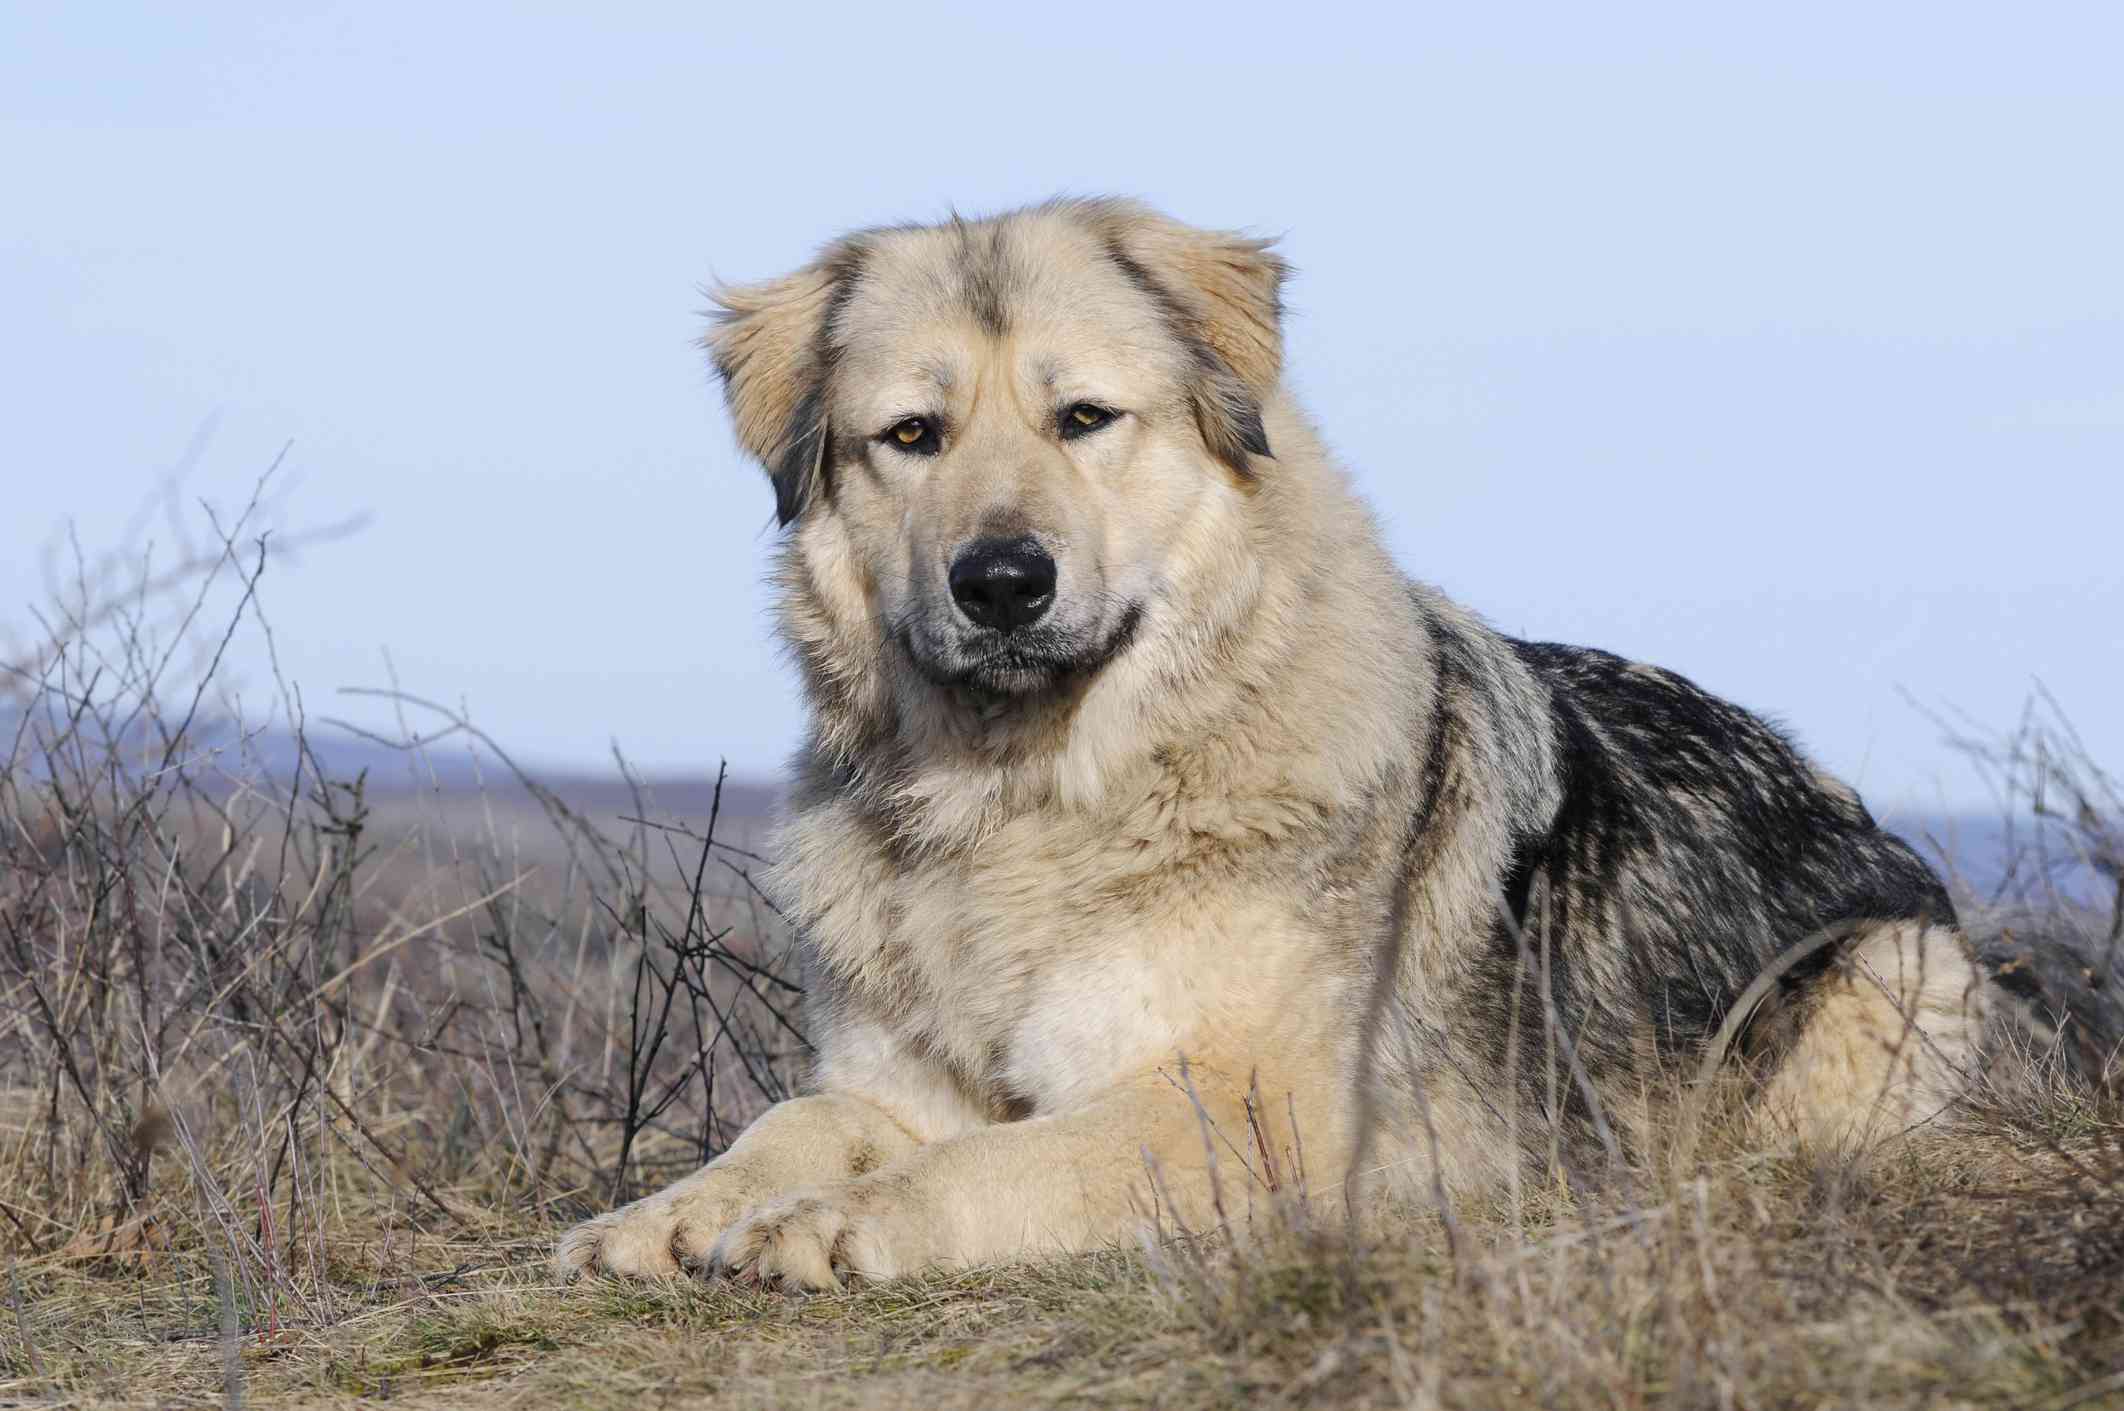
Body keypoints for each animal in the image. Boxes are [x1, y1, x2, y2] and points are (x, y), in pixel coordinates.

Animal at [552, 198, 1988, 1292]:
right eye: (913, 437)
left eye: (1084, 418)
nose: (1002, 581)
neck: (1026, 806)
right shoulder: (897, 1080)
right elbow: (799, 1117)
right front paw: (669, 1210)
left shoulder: (1255, 1112)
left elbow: (994, 1158)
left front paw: (839, 1221)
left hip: (1901, 972)